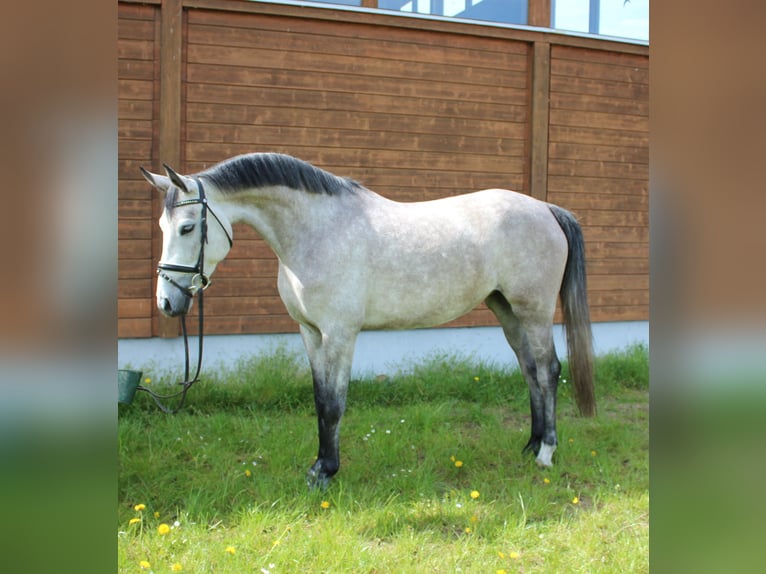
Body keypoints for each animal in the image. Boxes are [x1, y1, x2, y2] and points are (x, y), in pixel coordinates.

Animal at [144, 154, 600, 490]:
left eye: (188, 227)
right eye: (164, 226)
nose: (167, 302)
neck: (318, 231)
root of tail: (546, 209)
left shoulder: (340, 335)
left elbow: (334, 404)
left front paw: (326, 473)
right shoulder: (310, 333)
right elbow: (319, 400)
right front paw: (318, 466)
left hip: (533, 310)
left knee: (547, 370)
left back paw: (546, 453)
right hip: (506, 310)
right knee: (529, 370)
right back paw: (530, 445)